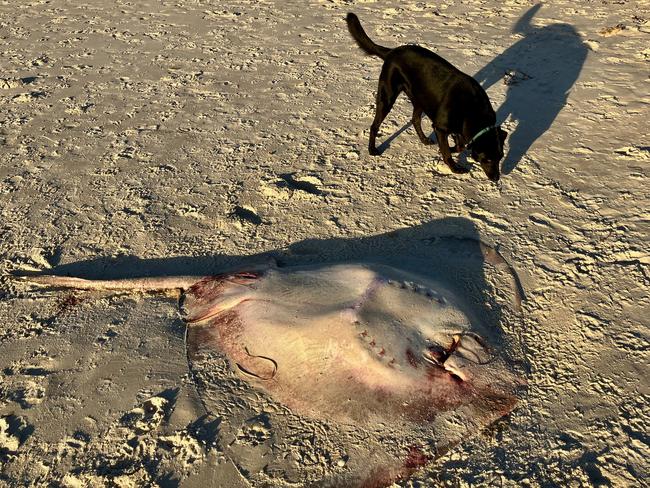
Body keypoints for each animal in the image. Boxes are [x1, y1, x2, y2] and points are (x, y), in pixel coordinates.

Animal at [344, 13, 506, 181]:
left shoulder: (458, 127)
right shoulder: (440, 127)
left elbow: (458, 144)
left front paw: (452, 148)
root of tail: (391, 52)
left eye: (500, 157)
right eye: (487, 159)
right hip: (387, 97)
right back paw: (372, 149)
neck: (473, 109)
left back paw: (424, 139)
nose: (496, 178)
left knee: (415, 119)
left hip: (420, 98)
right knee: (374, 126)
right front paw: (454, 166)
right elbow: (447, 152)